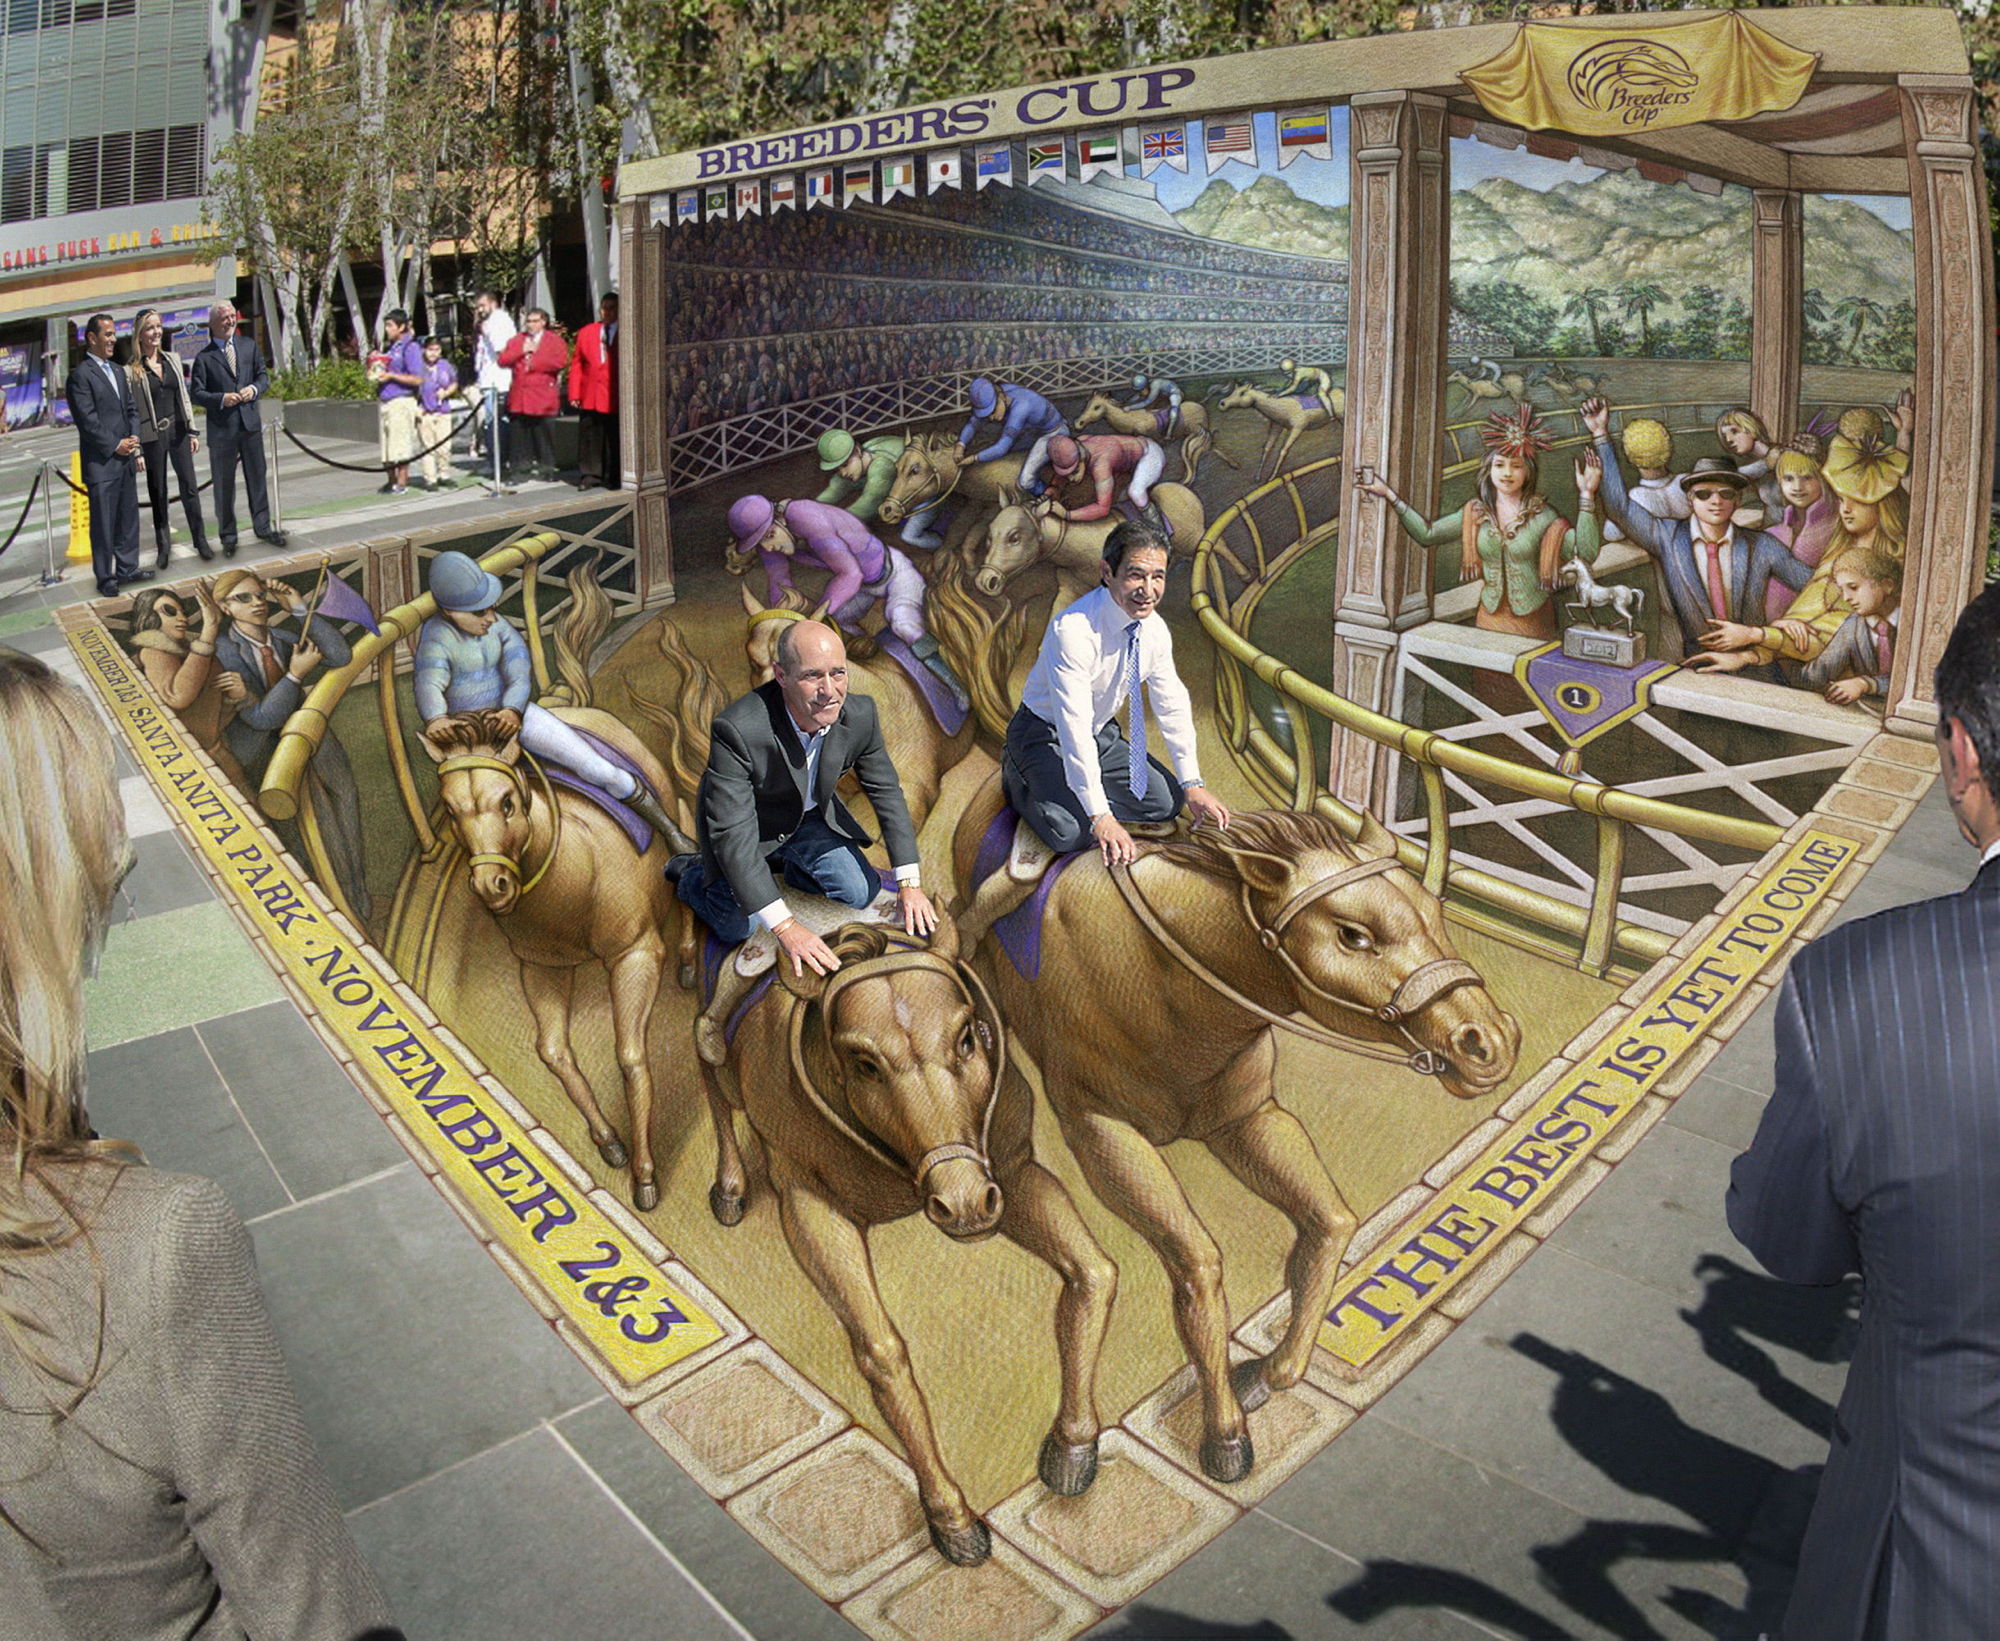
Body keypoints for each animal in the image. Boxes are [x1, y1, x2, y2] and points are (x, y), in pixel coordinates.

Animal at [702, 917, 1117, 1567]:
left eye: (967, 1038)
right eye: (864, 1063)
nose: (963, 1201)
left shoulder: (1012, 1172)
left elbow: (1094, 1274)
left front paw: (1072, 1447)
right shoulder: (810, 1208)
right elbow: (884, 1354)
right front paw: (951, 1517)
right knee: (714, 1083)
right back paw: (729, 1187)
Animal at [951, 782, 1521, 1484]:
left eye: (1434, 910)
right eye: (1353, 935)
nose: (1490, 1042)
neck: (1165, 982)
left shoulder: (1248, 1119)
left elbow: (1329, 1228)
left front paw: (1264, 1375)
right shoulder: (1103, 1136)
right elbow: (1199, 1272)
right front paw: (1216, 1433)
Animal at [1073, 393, 1235, 483]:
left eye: (1096, 407)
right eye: (1088, 404)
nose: (1078, 423)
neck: (1131, 420)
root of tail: (1201, 408)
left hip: (1195, 433)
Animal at [1212, 383, 1342, 484]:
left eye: (1242, 392)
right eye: (1233, 391)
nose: (1222, 403)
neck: (1285, 407)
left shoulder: (1297, 428)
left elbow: (1283, 450)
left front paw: (1272, 476)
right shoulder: (1276, 426)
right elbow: (1267, 448)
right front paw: (1258, 477)